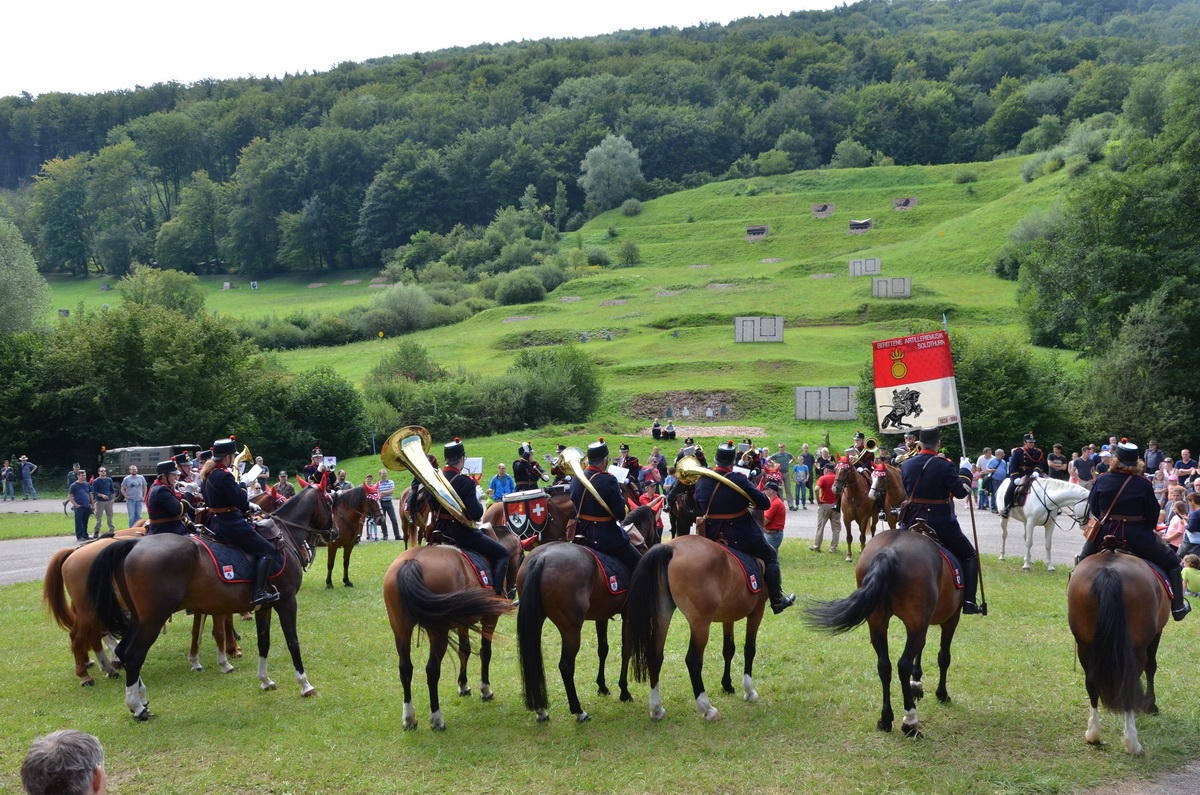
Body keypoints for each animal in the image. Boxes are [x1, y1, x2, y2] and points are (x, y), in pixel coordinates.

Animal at [86, 486, 335, 719]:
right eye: (330, 501)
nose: (334, 532)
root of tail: (134, 545)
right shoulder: (287, 602)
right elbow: (293, 642)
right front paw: (305, 685)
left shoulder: (264, 607)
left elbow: (263, 643)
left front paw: (265, 680)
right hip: (152, 620)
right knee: (134, 654)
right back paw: (138, 708)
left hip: (139, 618)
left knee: (122, 650)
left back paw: (141, 699)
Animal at [382, 545, 516, 730]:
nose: (512, 592)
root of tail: (412, 562)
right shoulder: (490, 618)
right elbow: (486, 652)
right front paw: (485, 690)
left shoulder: (462, 622)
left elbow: (464, 651)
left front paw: (463, 686)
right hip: (438, 631)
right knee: (432, 670)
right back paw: (436, 718)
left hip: (401, 628)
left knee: (405, 669)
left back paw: (409, 717)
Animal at [623, 535, 767, 721]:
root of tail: (671, 548)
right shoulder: (757, 611)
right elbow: (749, 649)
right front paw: (749, 691)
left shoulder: (728, 618)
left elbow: (728, 649)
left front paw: (727, 685)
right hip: (700, 623)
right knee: (693, 660)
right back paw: (707, 708)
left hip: (662, 615)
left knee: (655, 655)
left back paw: (656, 709)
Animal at [805, 528, 964, 736]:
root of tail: (890, 550)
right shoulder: (950, 619)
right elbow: (944, 657)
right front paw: (941, 694)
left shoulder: (924, 623)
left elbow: (921, 649)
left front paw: (917, 684)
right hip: (916, 624)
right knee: (903, 665)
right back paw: (909, 720)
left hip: (878, 623)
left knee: (884, 665)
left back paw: (886, 719)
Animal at [1067, 550, 1170, 754]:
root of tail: (1109, 571)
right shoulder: (1156, 633)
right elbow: (1151, 667)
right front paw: (1150, 705)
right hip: (1137, 646)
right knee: (1129, 681)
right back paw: (1132, 742)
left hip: (1084, 645)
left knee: (1091, 683)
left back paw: (1093, 734)